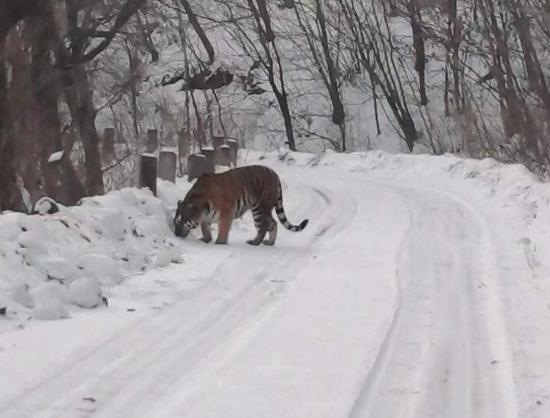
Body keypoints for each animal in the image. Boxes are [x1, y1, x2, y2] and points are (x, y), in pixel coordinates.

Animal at [174, 165, 308, 245]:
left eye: (183, 221)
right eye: (175, 221)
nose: (176, 234)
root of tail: (275, 174)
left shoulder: (227, 212)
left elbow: (223, 229)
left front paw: (220, 242)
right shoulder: (206, 216)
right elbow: (205, 228)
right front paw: (206, 239)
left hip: (260, 208)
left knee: (264, 226)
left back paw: (255, 242)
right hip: (263, 209)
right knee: (273, 223)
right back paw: (270, 242)